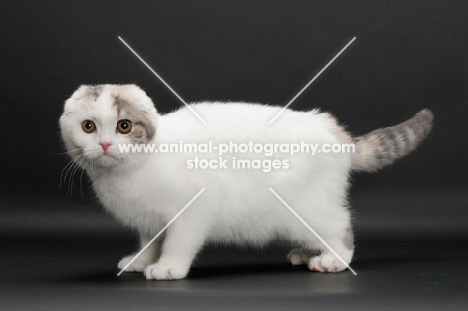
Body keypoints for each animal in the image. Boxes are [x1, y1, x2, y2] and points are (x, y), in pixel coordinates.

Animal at [60, 84, 434, 282]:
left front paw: (168, 267)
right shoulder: (149, 217)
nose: (104, 144)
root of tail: (333, 130)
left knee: (340, 227)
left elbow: (179, 241)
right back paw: (307, 252)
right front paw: (141, 260)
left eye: (124, 126)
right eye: (89, 127)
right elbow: (149, 239)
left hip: (309, 207)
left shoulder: (197, 206)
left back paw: (332, 259)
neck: (127, 172)